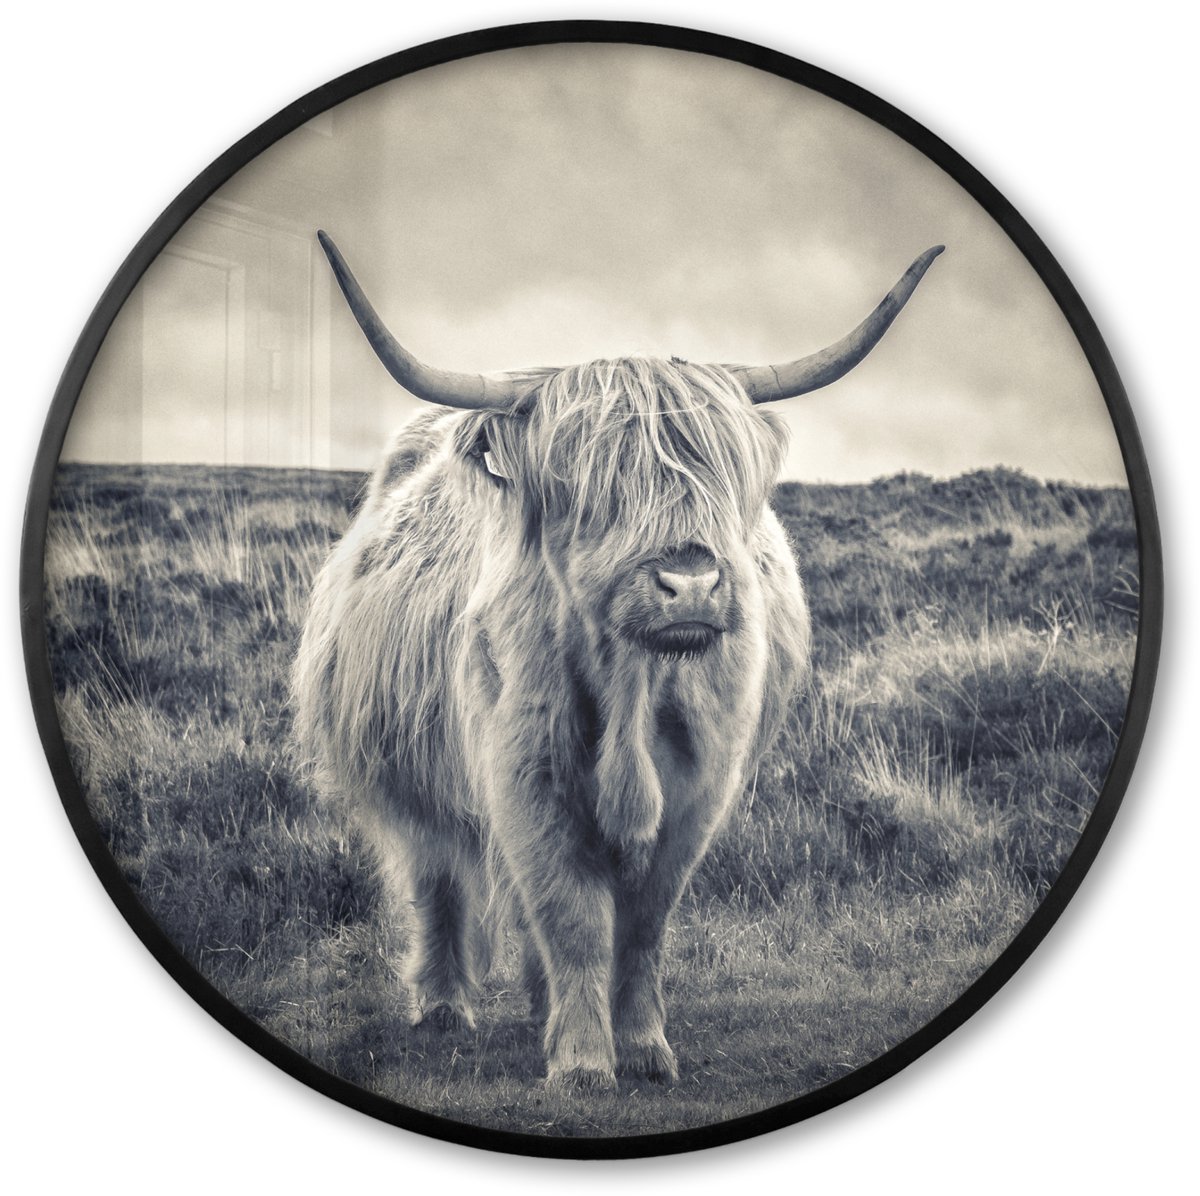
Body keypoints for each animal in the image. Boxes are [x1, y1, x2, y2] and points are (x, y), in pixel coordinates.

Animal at [292, 233, 942, 1089]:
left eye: (721, 475)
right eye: (588, 485)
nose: (690, 582)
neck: (633, 686)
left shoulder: (699, 788)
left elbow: (640, 923)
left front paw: (640, 1047)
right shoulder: (524, 775)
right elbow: (569, 913)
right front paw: (580, 1062)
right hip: (410, 772)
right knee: (437, 876)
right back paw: (443, 1006)